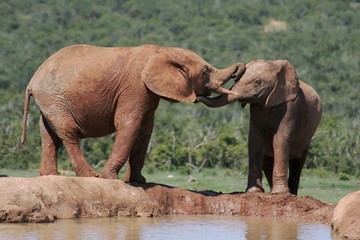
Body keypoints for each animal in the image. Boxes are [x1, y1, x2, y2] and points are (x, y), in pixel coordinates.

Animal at [20, 44, 245, 182]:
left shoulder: (148, 92)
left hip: (48, 100)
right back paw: (91, 176)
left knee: (48, 135)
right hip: (53, 97)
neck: (164, 50)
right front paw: (111, 179)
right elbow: (129, 123)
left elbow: (145, 130)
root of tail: (31, 81)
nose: (238, 73)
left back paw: (50, 177)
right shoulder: (135, 86)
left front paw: (139, 181)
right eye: (205, 73)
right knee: (67, 132)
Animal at [198, 58, 322, 195]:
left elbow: (280, 140)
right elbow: (254, 139)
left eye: (258, 82)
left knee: (298, 162)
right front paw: (254, 192)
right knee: (267, 159)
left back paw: (290, 194)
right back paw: (272, 192)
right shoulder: (256, 107)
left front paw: (280, 194)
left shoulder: (291, 106)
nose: (197, 96)